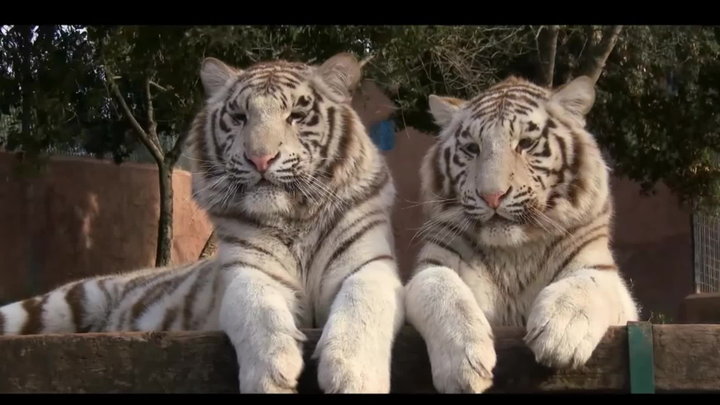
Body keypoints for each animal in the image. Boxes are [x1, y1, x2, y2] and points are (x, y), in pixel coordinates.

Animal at [0, 52, 405, 394]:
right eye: (239, 117)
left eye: (296, 116)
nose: (260, 158)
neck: (294, 217)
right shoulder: (245, 272)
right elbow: (258, 307)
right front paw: (272, 372)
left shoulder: (369, 265)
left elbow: (363, 304)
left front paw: (353, 375)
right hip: (63, 302)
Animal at [403, 75, 640, 393]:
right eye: (472, 148)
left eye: (526, 144)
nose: (492, 196)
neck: (515, 251)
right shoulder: (431, 267)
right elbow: (442, 290)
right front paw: (463, 365)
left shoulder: (603, 272)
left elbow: (586, 284)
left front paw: (560, 333)